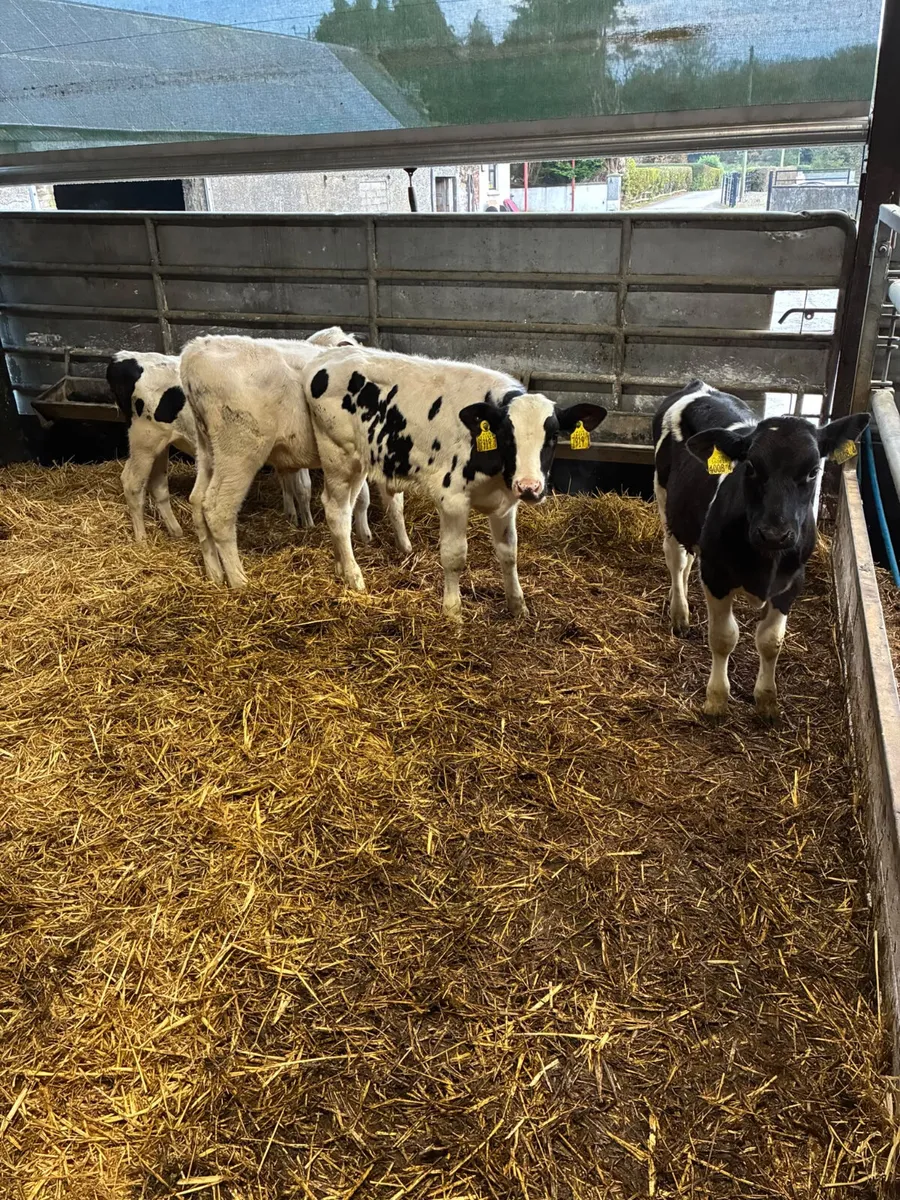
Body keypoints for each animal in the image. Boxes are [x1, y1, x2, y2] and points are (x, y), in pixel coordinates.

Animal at [179, 333, 410, 588]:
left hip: (207, 450)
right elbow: (384, 502)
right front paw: (398, 545)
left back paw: (214, 574)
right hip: (238, 452)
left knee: (197, 501)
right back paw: (239, 581)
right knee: (218, 509)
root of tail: (196, 350)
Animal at [299, 345, 607, 619]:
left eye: (553, 436)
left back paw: (341, 566)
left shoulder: (506, 504)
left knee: (344, 508)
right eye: (507, 436)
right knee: (337, 513)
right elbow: (454, 556)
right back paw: (354, 576)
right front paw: (452, 611)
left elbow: (509, 553)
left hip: (359, 461)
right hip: (338, 456)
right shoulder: (452, 500)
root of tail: (327, 356)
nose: (529, 487)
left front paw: (518, 606)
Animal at [653, 380, 868, 719]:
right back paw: (680, 615)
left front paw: (767, 699)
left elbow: (770, 641)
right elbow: (724, 637)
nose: (774, 535)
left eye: (813, 471)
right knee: (676, 560)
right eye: (751, 467)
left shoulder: (792, 581)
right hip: (667, 503)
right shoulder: (716, 575)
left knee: (687, 563)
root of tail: (701, 385)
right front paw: (717, 699)